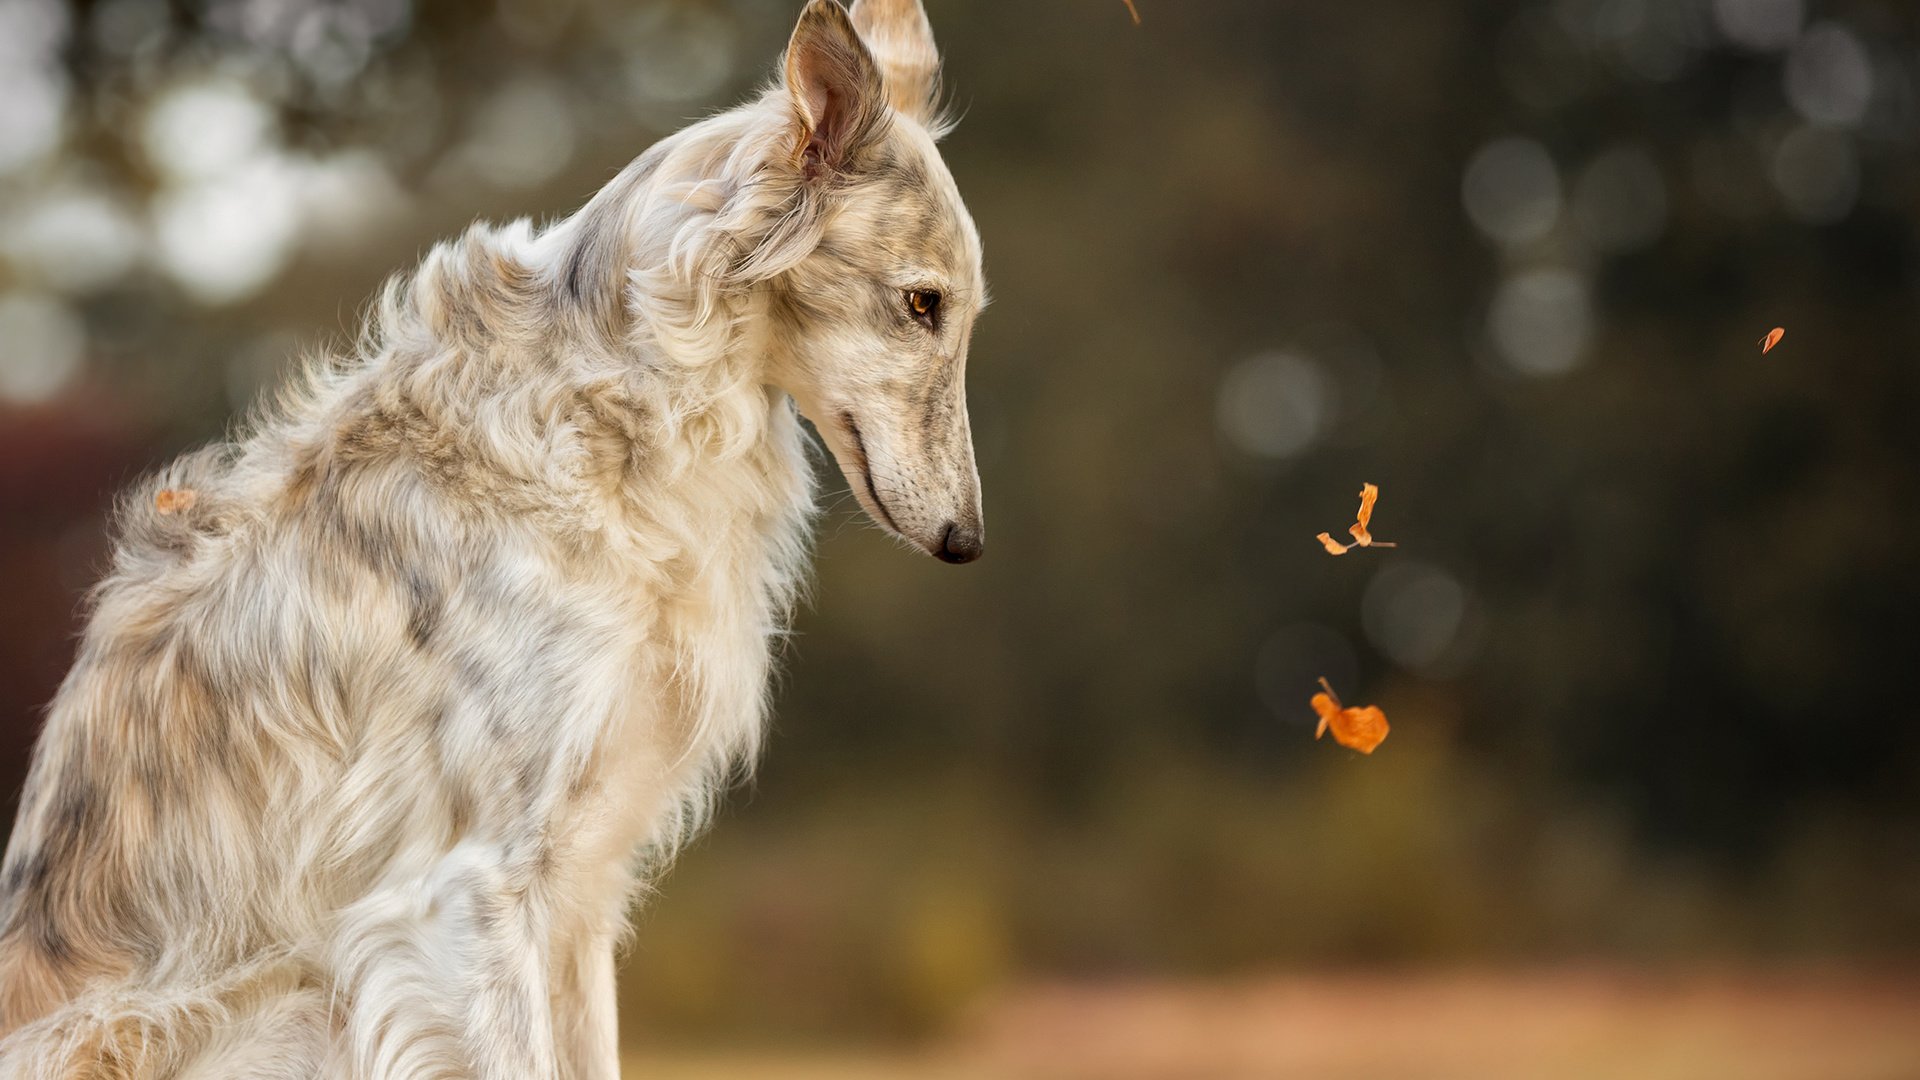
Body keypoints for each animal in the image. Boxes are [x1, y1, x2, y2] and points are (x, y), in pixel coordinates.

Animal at [0, 4, 983, 1068]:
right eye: (922, 301)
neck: (614, 419)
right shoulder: (474, 887)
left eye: (959, 308)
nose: (968, 541)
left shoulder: (579, 886)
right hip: (276, 1005)